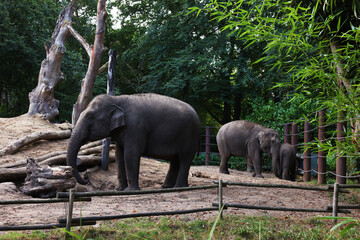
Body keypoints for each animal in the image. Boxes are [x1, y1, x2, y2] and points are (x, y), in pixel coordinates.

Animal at [66, 93, 201, 190]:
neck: (116, 99)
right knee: (175, 160)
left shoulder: (135, 127)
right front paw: (119, 189)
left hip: (190, 136)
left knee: (185, 159)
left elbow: (130, 154)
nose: (86, 176)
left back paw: (179, 187)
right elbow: (119, 155)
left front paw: (131, 190)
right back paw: (167, 187)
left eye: (90, 117)